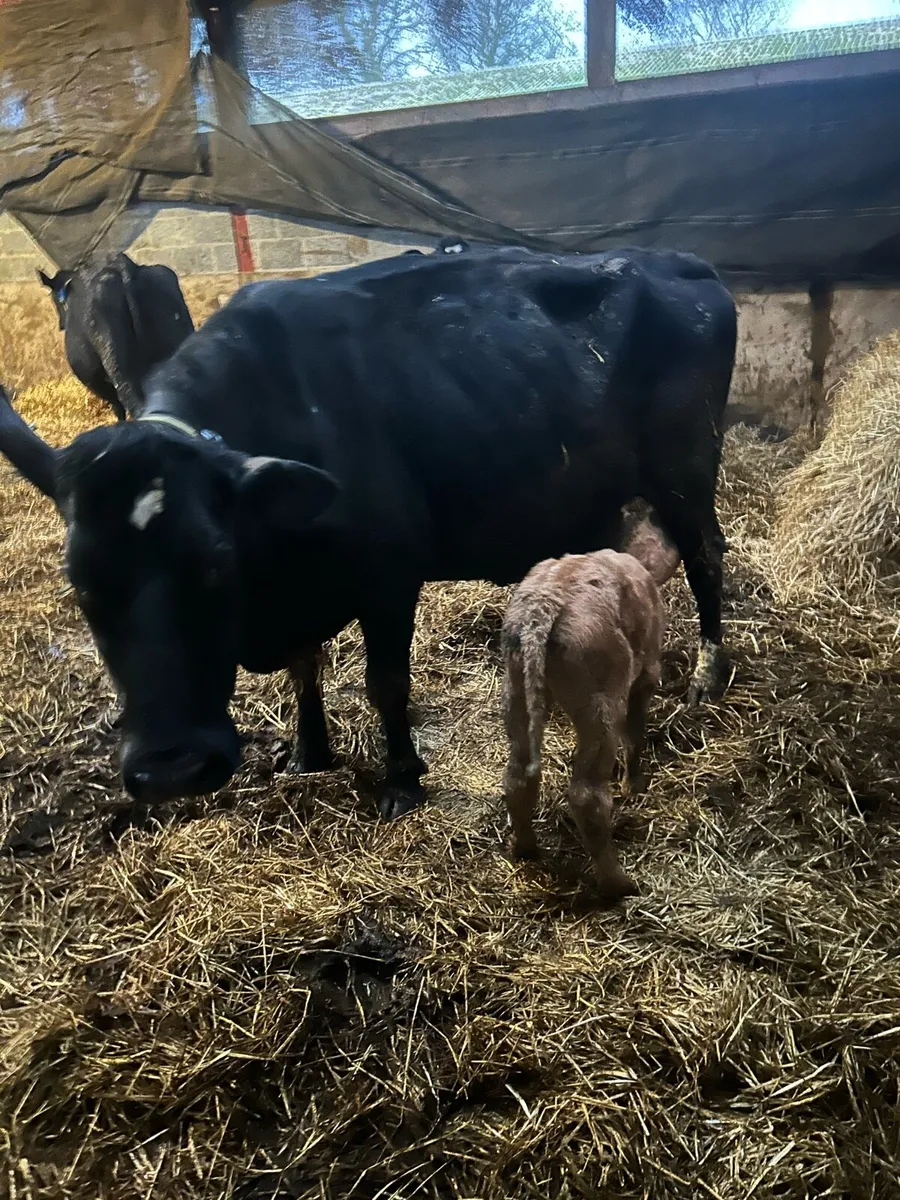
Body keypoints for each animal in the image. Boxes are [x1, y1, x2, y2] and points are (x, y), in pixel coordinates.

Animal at [501, 514, 680, 901]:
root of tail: (540, 613)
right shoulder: (647, 670)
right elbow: (636, 731)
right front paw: (634, 785)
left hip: (516, 687)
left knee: (519, 774)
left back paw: (524, 847)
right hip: (599, 699)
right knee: (587, 796)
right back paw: (618, 885)